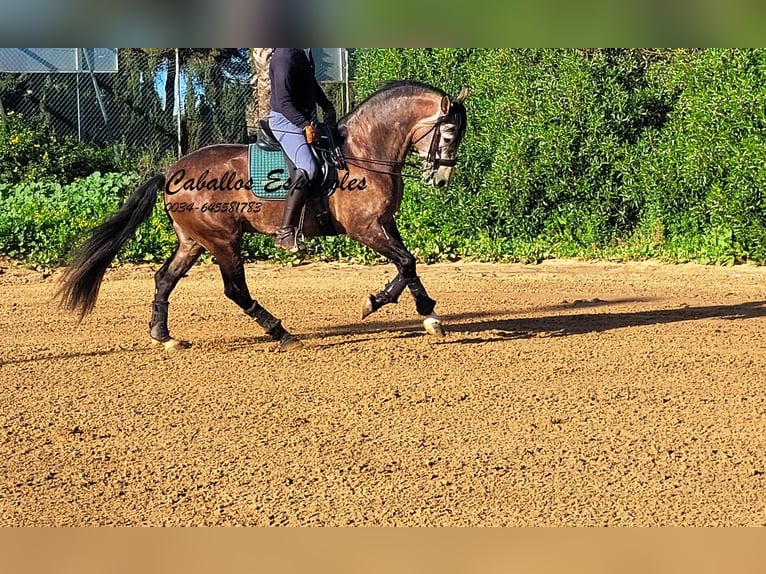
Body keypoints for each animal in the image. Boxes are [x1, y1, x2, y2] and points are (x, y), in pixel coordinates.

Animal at [55, 81, 468, 352]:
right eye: (449, 134)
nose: (441, 179)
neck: (362, 152)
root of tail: (170, 172)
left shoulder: (384, 223)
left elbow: (407, 264)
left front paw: (422, 312)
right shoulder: (363, 228)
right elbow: (406, 261)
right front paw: (386, 305)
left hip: (193, 241)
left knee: (164, 279)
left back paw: (164, 336)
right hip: (223, 240)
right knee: (235, 289)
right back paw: (281, 333)